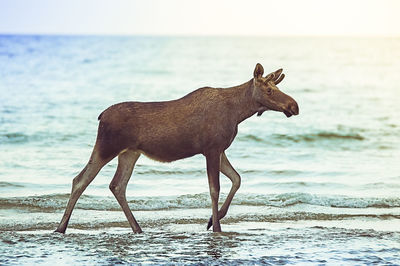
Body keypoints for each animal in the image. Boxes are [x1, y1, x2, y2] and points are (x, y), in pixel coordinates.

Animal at [57, 63, 300, 234]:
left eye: (277, 87)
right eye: (268, 90)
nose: (294, 106)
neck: (238, 112)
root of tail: (101, 116)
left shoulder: (220, 149)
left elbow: (237, 179)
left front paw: (212, 220)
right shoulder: (211, 149)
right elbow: (215, 189)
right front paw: (216, 226)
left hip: (130, 153)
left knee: (117, 185)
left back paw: (137, 228)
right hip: (107, 147)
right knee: (80, 179)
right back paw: (60, 228)